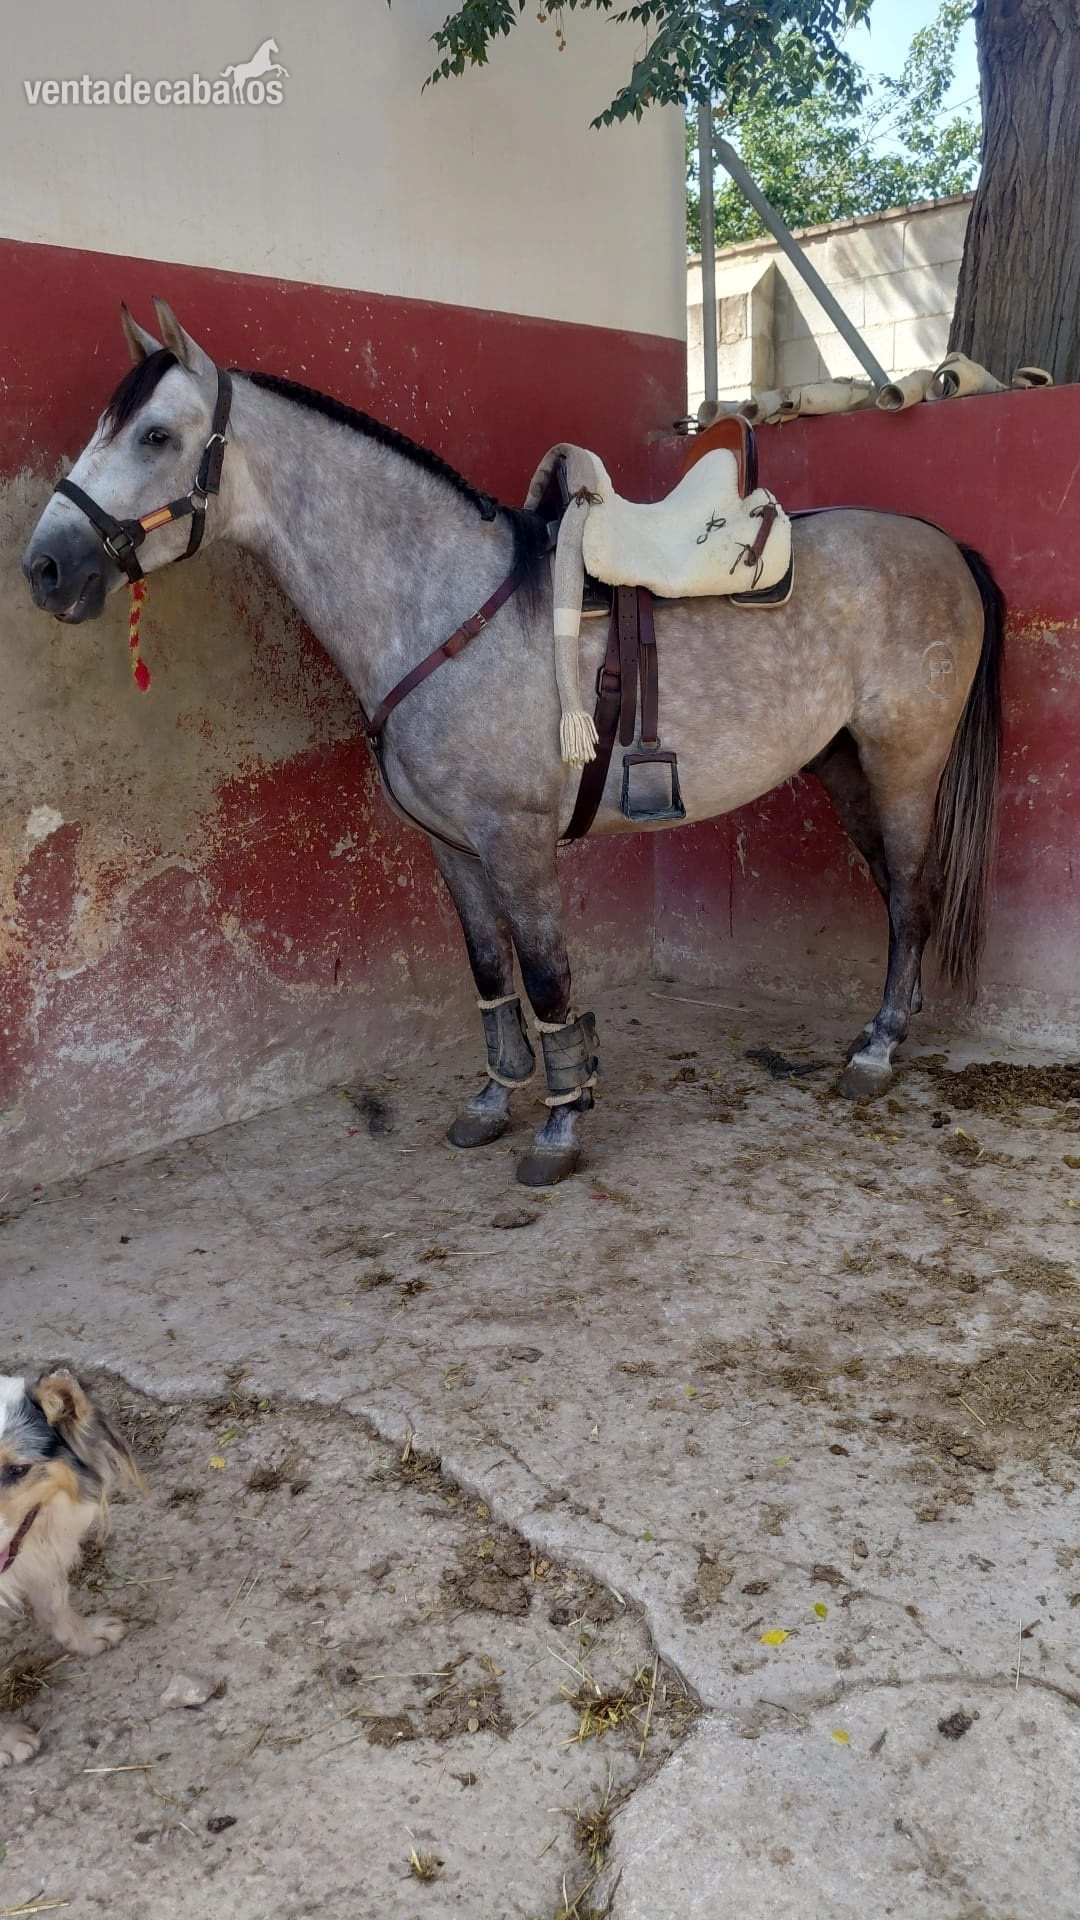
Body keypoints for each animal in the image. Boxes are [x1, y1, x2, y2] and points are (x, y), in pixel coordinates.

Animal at [22, 302, 1004, 1187]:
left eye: (155, 435)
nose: (45, 567)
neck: (444, 607)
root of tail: (944, 544)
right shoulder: (452, 847)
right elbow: (492, 972)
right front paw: (495, 1101)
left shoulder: (517, 840)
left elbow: (547, 976)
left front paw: (561, 1128)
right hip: (842, 767)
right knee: (894, 892)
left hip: (904, 763)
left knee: (911, 896)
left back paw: (878, 1052)